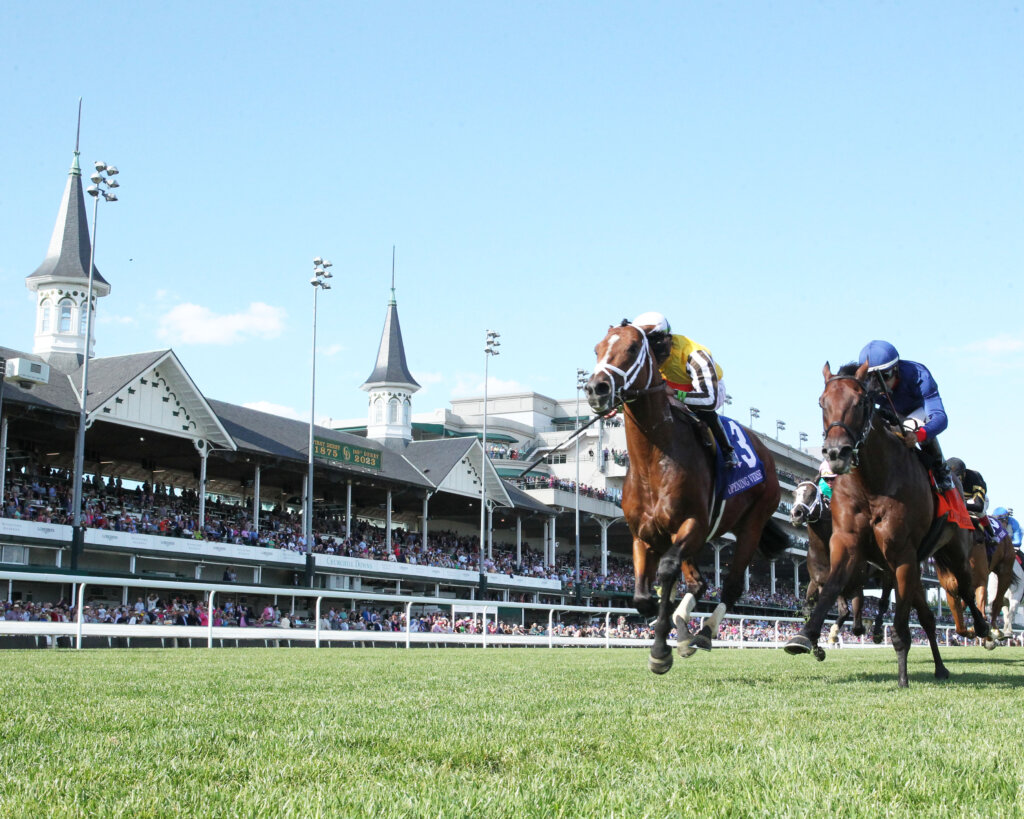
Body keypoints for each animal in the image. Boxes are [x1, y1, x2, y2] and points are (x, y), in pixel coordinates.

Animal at [585, 317, 790, 671]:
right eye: (597, 349)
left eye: (632, 348)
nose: (597, 388)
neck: (654, 459)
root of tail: (766, 454)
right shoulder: (644, 534)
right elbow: (642, 596)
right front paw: (663, 625)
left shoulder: (692, 523)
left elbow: (667, 572)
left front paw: (660, 649)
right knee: (698, 583)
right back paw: (683, 631)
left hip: (751, 524)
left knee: (731, 586)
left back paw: (704, 632)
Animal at [778, 362, 987, 687]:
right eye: (822, 402)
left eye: (861, 402)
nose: (836, 453)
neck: (872, 482)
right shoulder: (847, 546)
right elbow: (828, 594)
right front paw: (805, 637)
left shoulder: (902, 554)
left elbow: (899, 622)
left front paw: (902, 676)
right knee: (927, 617)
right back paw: (940, 666)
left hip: (952, 552)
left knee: (963, 586)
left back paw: (982, 628)